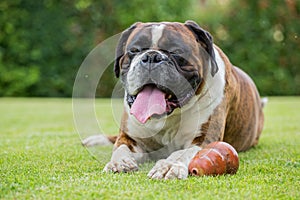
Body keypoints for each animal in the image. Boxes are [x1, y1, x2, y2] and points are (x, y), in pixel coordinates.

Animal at [82, 20, 264, 180]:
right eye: (134, 50)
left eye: (176, 51)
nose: (152, 57)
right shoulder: (129, 137)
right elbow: (120, 148)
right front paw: (119, 163)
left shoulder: (203, 140)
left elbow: (181, 153)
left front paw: (168, 166)